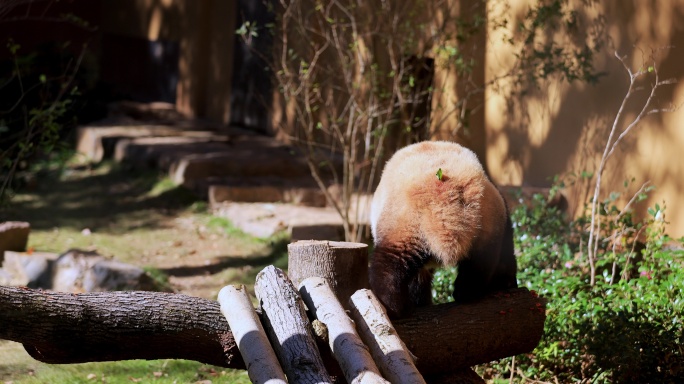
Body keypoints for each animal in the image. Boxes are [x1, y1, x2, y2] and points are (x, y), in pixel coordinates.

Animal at [372, 140, 516, 318]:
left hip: (405, 220)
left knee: (391, 261)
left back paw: (395, 305)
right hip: (487, 219)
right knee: (480, 262)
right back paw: (465, 292)